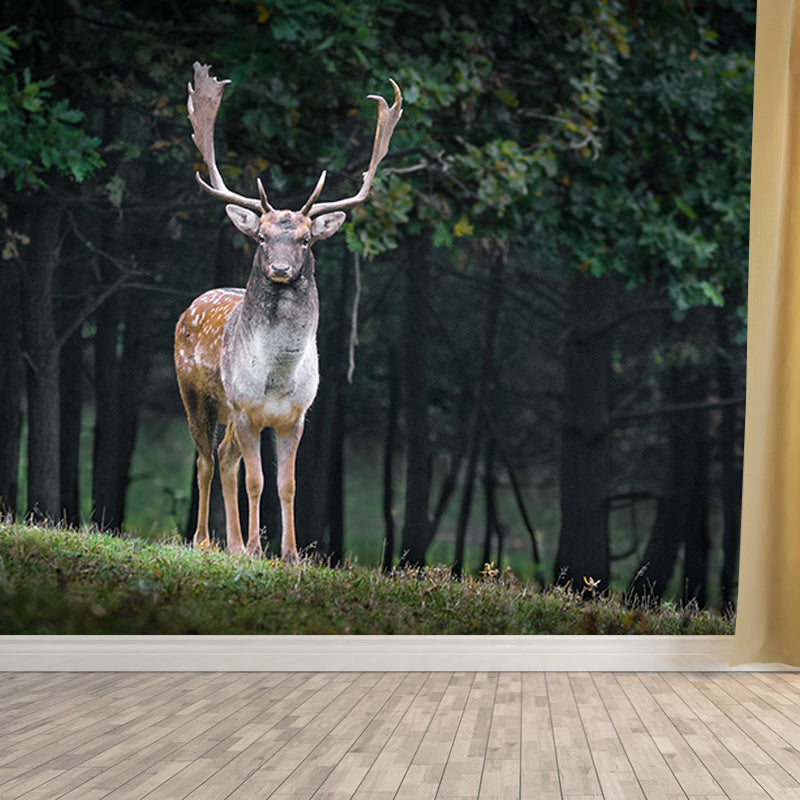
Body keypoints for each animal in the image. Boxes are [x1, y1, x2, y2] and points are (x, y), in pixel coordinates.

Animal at [175, 62, 402, 561]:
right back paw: (204, 540)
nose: (280, 268)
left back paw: (231, 544)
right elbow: (256, 481)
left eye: (306, 239)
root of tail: (190, 307)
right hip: (196, 395)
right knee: (204, 460)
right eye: (261, 236)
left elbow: (287, 484)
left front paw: (291, 553)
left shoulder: (296, 416)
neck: (277, 377)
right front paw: (257, 549)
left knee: (223, 459)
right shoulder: (245, 409)